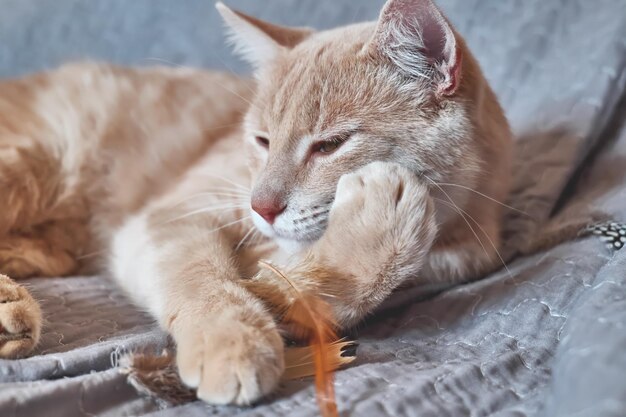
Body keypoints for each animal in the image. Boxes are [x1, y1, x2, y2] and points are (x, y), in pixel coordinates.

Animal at [0, 0, 510, 404]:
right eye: (262, 140)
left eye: (330, 145)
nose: (261, 207)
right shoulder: (174, 215)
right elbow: (203, 278)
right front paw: (231, 336)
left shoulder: (463, 256)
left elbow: (308, 291)